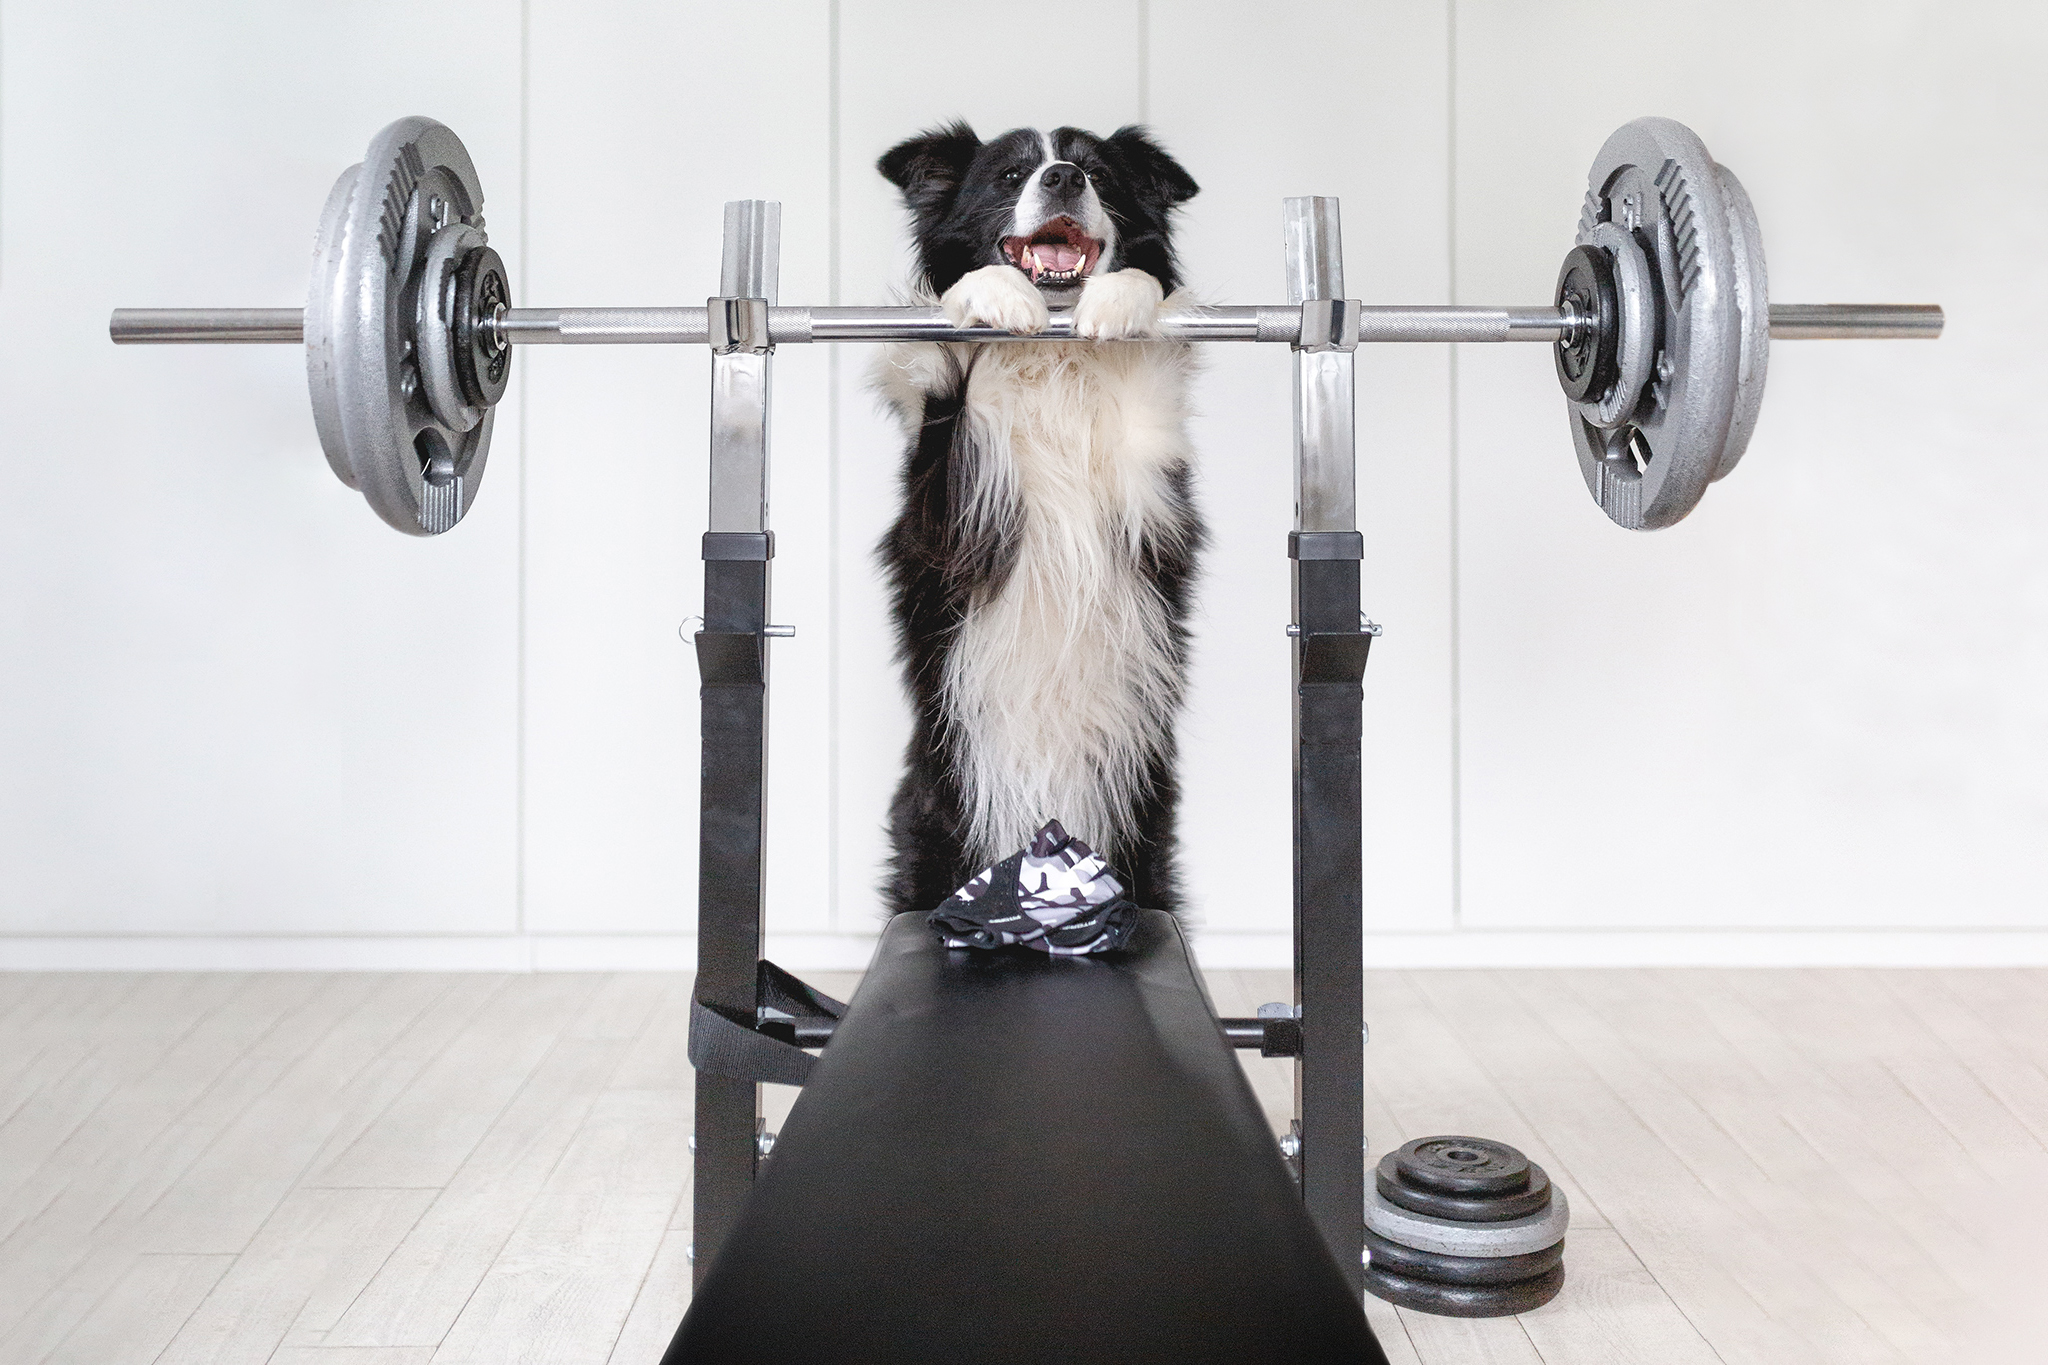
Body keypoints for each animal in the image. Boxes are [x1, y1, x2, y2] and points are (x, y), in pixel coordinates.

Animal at [876, 122, 1196, 916]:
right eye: (1009, 174)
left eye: (1098, 174)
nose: (1061, 179)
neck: (1053, 351)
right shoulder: (948, 506)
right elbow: (949, 345)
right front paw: (995, 296)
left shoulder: (1148, 468)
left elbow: (1147, 319)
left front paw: (1118, 303)